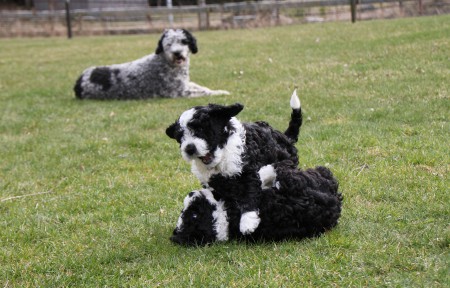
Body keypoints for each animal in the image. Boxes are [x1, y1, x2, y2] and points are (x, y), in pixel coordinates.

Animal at [74, 28, 229, 100]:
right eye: (169, 44)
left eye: (184, 41)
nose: (177, 53)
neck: (165, 63)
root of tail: (78, 82)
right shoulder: (179, 92)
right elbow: (204, 92)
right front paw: (219, 93)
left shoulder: (185, 84)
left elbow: (201, 87)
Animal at [165, 91, 302, 235]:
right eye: (180, 137)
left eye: (201, 129)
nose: (189, 148)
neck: (220, 158)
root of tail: (285, 137)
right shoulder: (212, 183)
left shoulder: (247, 172)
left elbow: (249, 193)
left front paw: (248, 221)